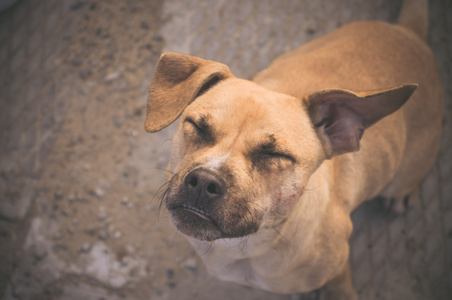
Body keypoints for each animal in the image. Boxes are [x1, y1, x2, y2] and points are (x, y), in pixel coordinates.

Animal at [144, 0, 442, 298]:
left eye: (274, 154)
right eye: (197, 126)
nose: (204, 181)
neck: (247, 248)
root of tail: (408, 32)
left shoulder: (337, 269)